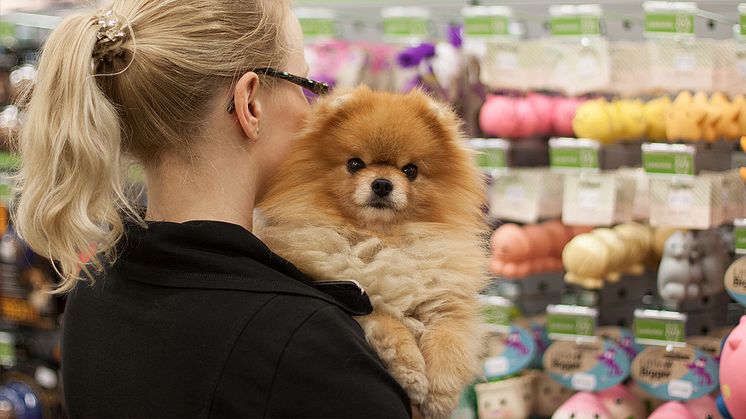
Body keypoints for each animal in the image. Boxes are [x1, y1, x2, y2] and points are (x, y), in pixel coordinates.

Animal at [256, 86, 488, 419]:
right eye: (355, 164)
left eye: (410, 170)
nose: (382, 183)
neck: (380, 238)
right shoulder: (350, 292)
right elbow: (388, 322)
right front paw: (411, 370)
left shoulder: (446, 299)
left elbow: (449, 338)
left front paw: (440, 393)